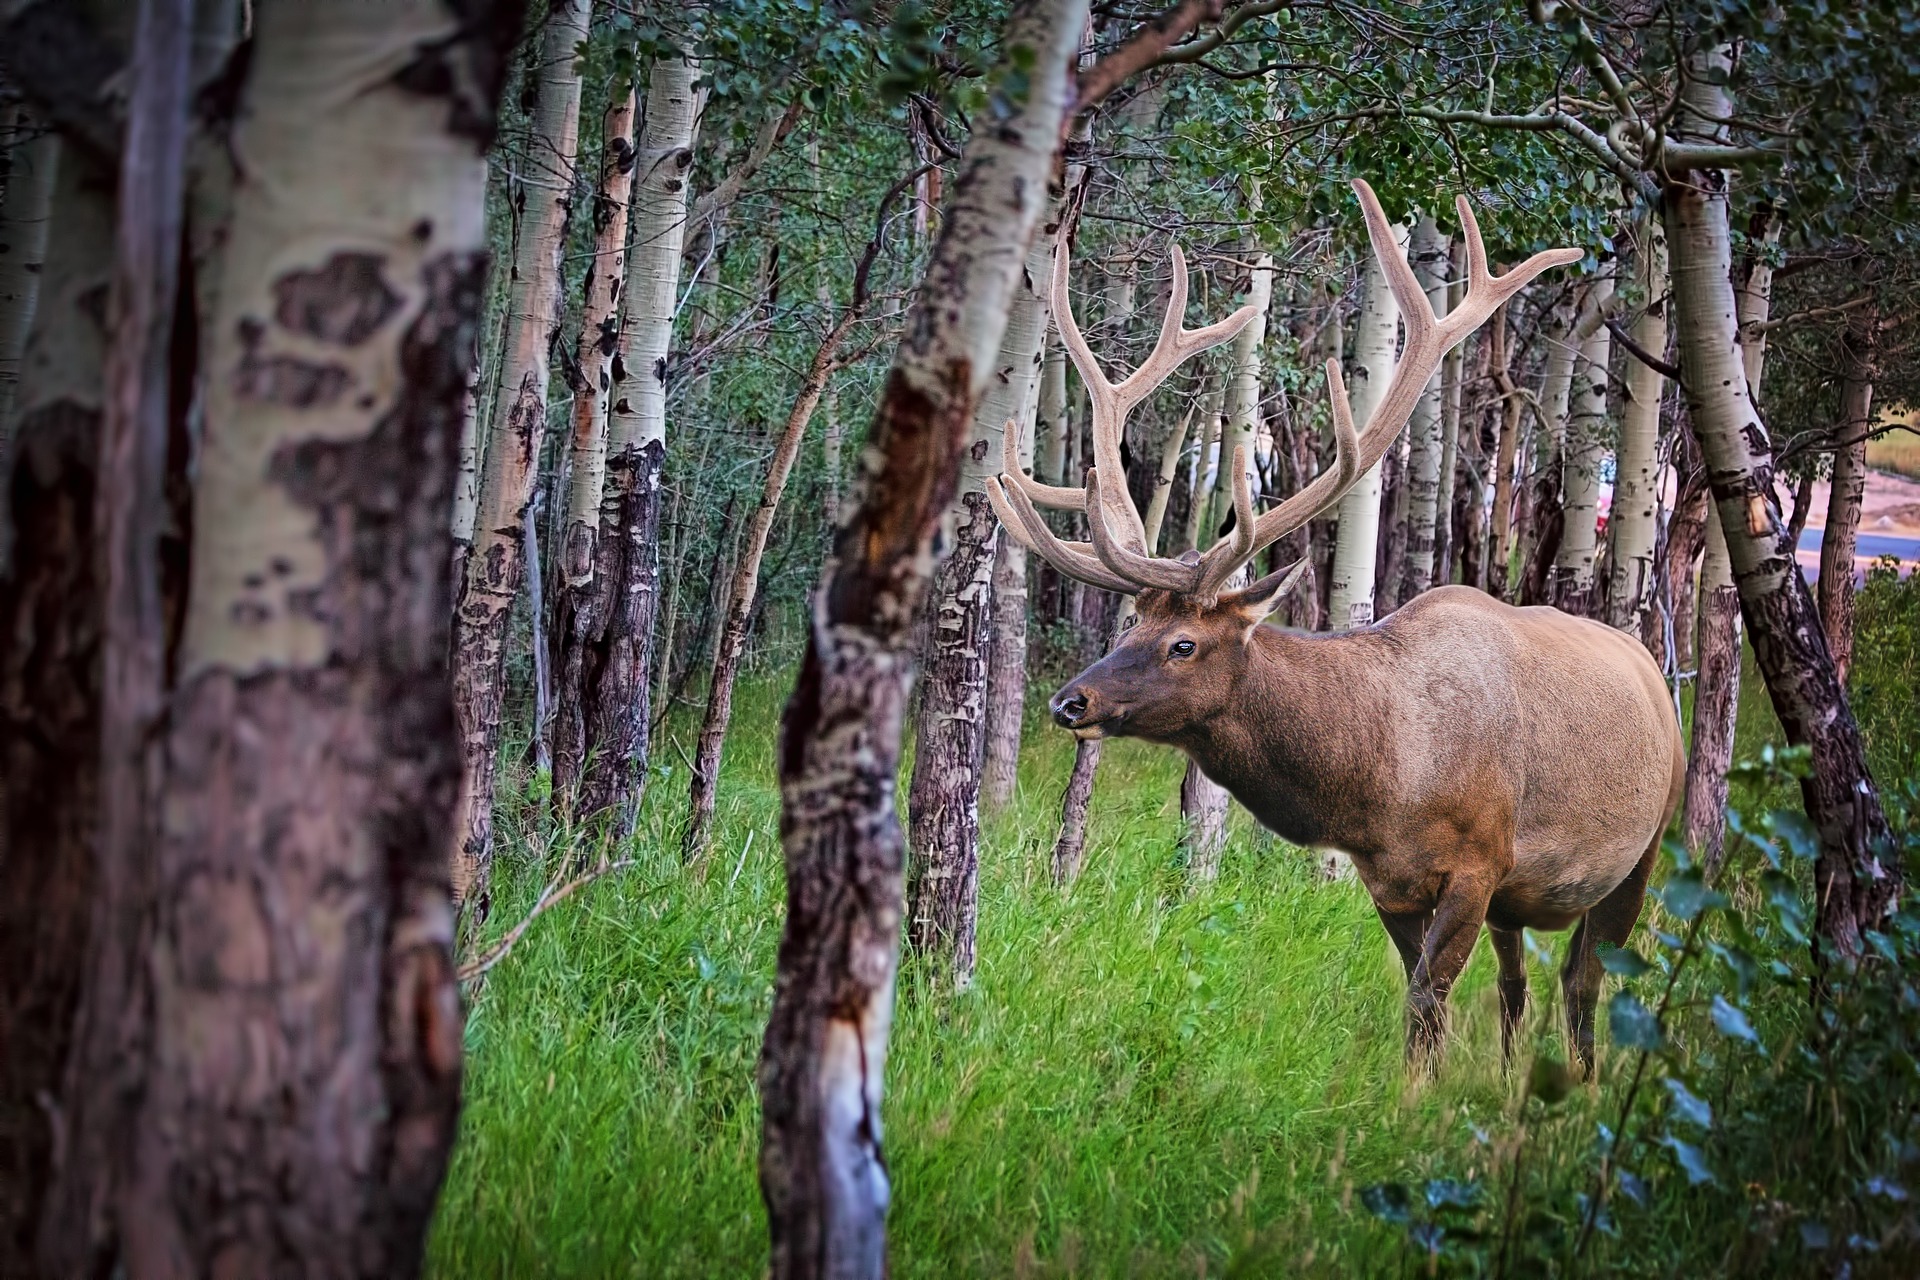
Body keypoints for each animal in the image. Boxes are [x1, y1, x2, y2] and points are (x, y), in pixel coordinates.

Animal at [988, 181, 1685, 1075]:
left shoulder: (1480, 861)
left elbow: (1425, 1004)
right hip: (1524, 899)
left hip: (1645, 845)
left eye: (1184, 644)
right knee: (1518, 984)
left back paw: (1582, 1087)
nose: (1070, 702)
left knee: (1585, 981)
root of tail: (1652, 670)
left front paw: (1415, 1100)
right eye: (1131, 622)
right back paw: (1510, 1081)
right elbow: (1427, 1005)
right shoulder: (1391, 881)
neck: (1382, 785)